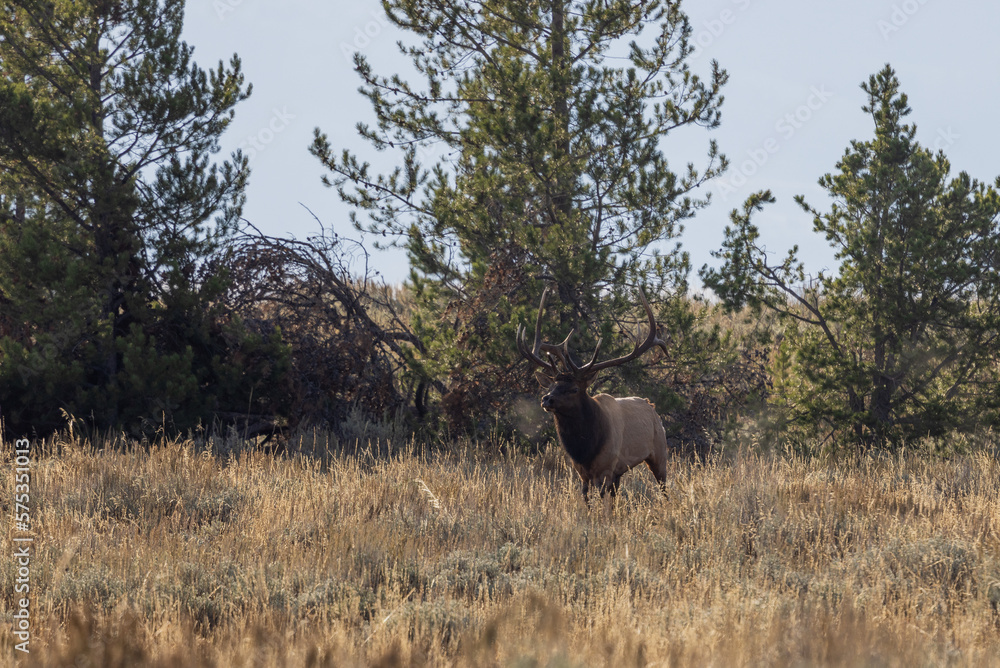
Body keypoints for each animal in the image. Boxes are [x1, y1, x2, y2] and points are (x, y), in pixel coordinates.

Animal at [517, 286, 671, 500]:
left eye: (574, 389)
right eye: (551, 386)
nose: (546, 400)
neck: (585, 449)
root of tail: (652, 406)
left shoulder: (606, 467)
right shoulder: (582, 472)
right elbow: (586, 499)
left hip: (659, 450)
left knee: (664, 486)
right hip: (620, 470)